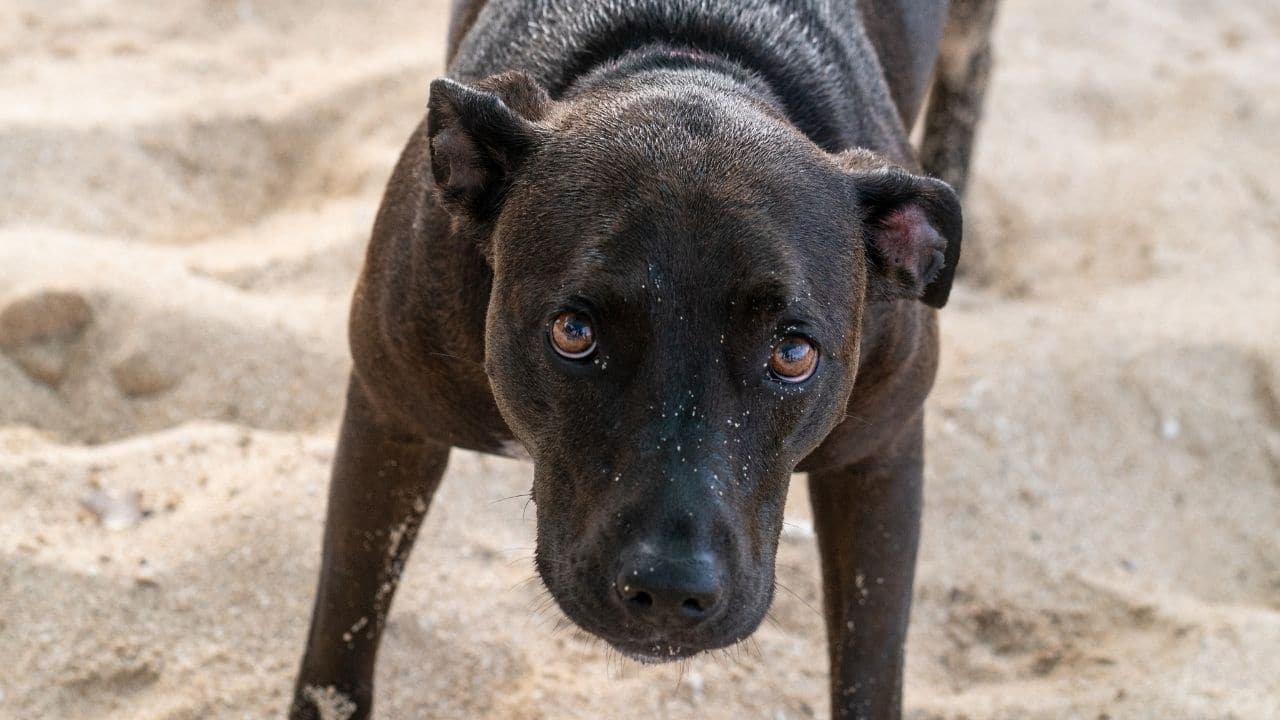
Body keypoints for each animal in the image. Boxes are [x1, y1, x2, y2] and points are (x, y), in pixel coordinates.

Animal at [293, 2, 998, 712]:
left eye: (793, 352)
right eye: (573, 331)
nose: (668, 588)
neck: (686, 58)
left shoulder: (877, 461)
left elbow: (868, 671)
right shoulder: (392, 423)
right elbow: (339, 646)